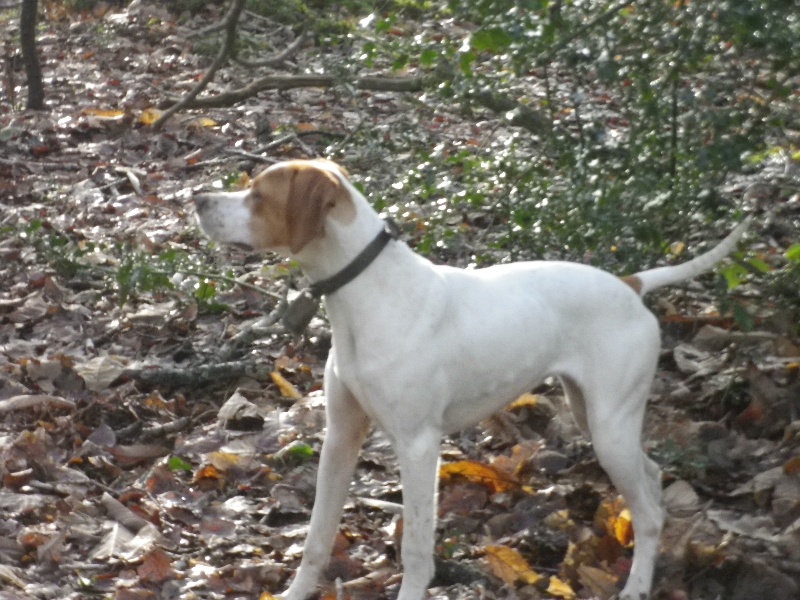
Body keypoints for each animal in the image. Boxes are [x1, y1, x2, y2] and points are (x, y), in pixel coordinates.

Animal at [194, 159, 752, 600]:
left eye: (258, 195)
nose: (197, 198)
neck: (370, 296)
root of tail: (630, 285)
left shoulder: (418, 445)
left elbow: (417, 547)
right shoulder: (340, 437)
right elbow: (316, 536)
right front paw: (293, 593)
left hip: (610, 429)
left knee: (650, 511)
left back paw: (636, 586)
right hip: (594, 417)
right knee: (653, 480)